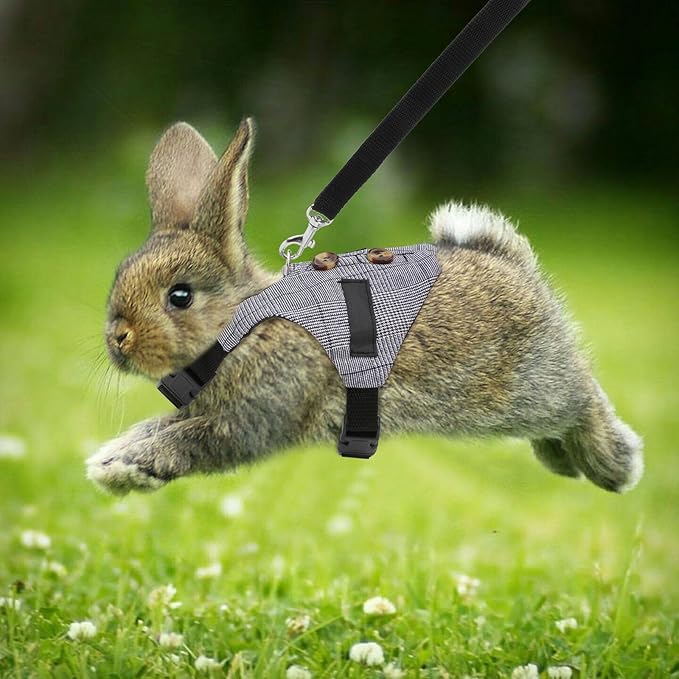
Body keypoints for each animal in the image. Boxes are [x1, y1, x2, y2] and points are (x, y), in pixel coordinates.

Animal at [86, 119, 644, 496]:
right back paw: (562, 461)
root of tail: (513, 266)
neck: (242, 327)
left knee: (584, 399)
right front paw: (111, 460)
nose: (118, 339)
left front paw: (120, 470)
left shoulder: (254, 415)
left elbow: (191, 442)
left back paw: (615, 464)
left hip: (530, 390)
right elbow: (159, 427)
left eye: (179, 296)